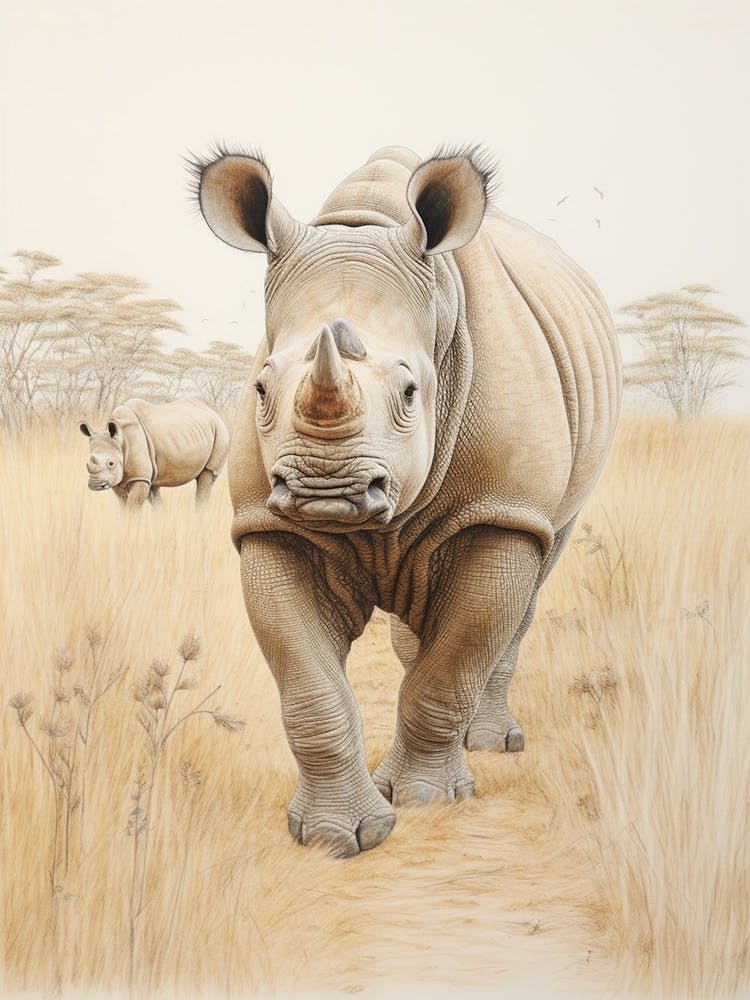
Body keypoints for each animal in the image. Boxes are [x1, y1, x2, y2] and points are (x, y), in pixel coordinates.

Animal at [80, 397, 229, 507]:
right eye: (89, 460)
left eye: (111, 463)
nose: (95, 485)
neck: (121, 440)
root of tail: (214, 412)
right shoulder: (115, 478)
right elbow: (123, 502)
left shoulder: (139, 477)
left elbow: (132, 506)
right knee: (155, 488)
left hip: (220, 432)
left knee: (207, 475)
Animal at [195, 144, 622, 857]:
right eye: (259, 389)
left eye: (410, 394)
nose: (324, 489)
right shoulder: (267, 524)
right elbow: (310, 688)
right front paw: (333, 837)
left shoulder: (503, 510)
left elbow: (453, 664)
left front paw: (428, 799)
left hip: (553, 490)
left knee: (536, 573)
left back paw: (493, 744)